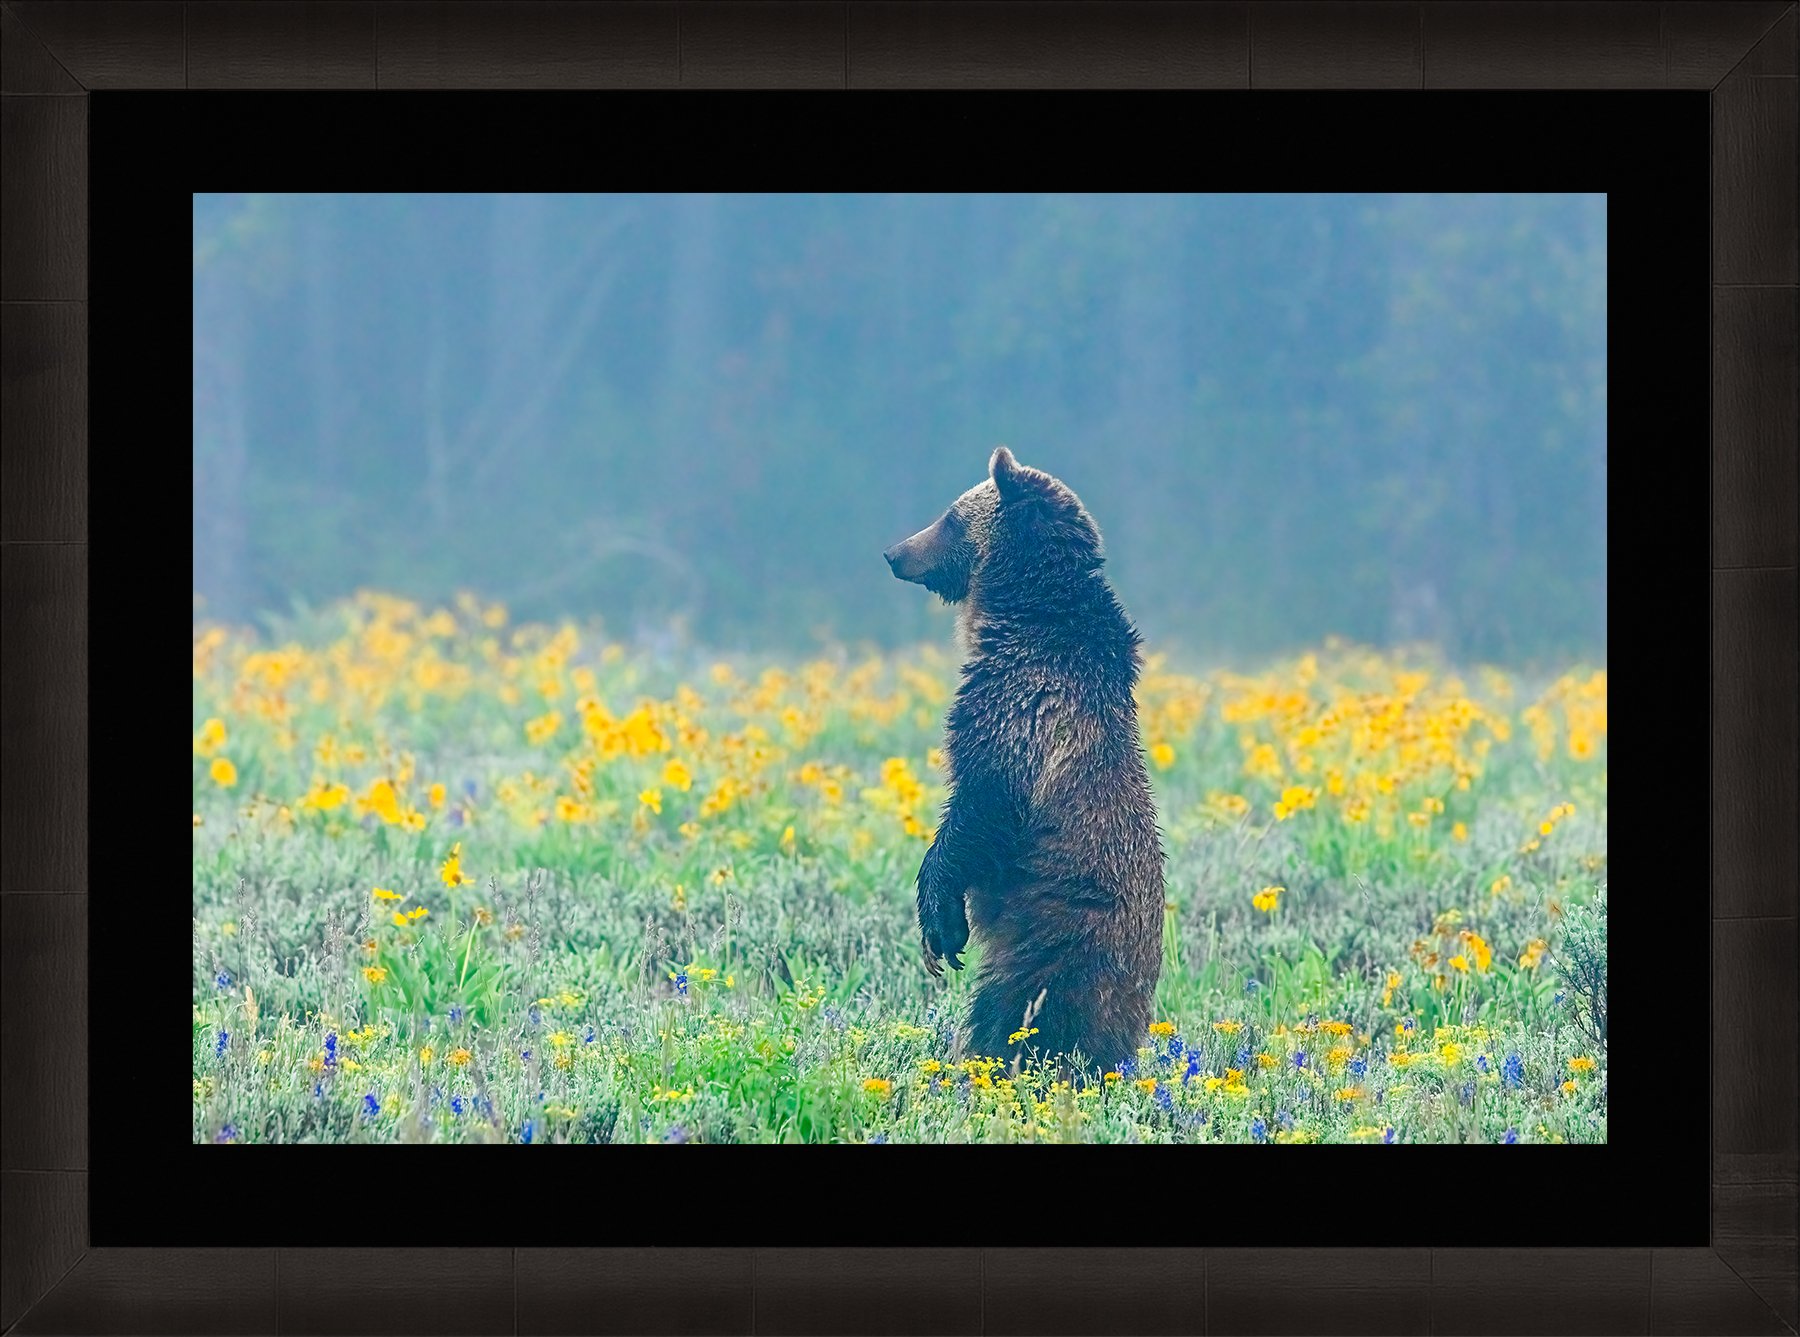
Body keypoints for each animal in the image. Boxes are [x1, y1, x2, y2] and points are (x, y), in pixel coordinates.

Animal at [883, 446, 1165, 1074]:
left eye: (950, 517)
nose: (894, 553)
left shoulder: (1019, 711)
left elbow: (979, 808)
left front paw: (939, 925)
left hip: (1062, 940)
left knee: (1018, 1014)